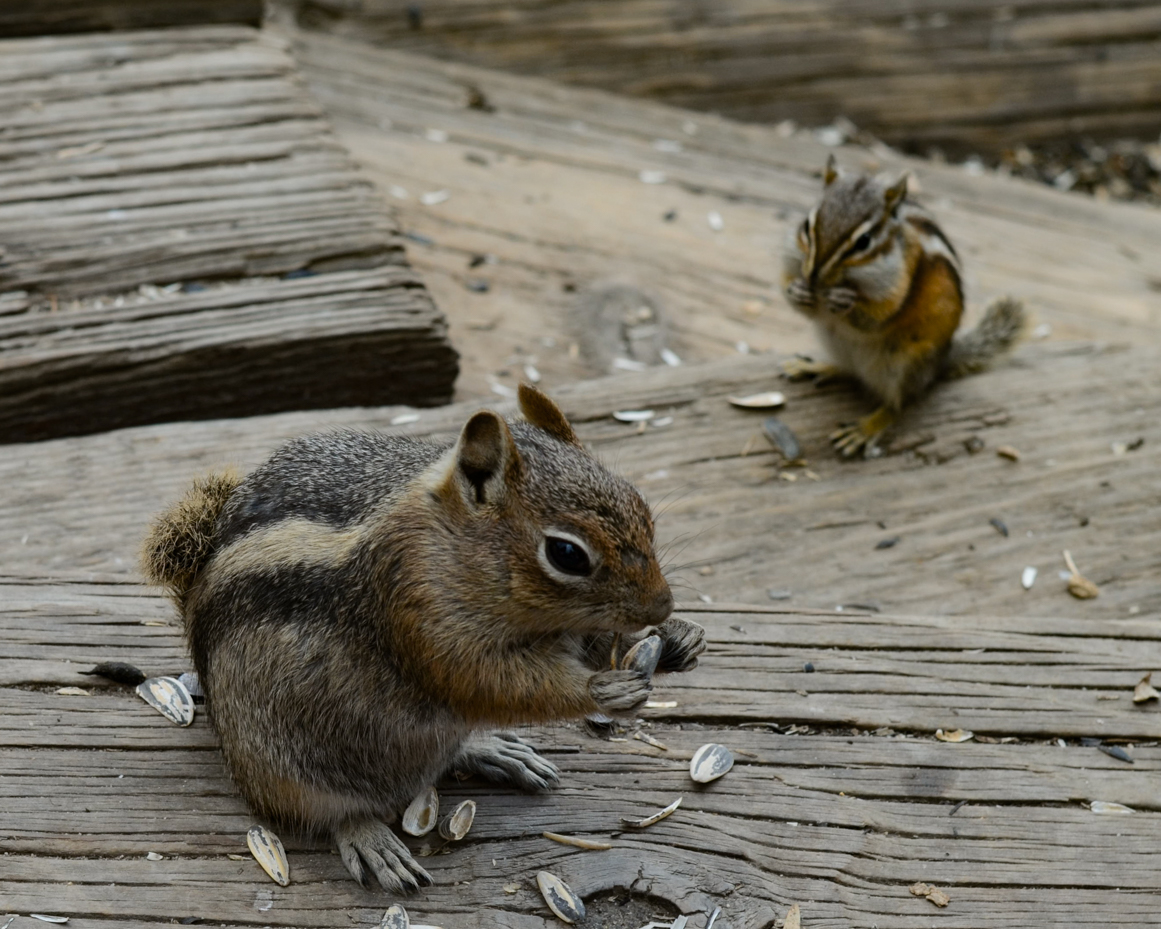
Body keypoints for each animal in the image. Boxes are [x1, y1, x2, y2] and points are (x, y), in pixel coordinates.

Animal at [145, 385, 705, 891]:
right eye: (567, 554)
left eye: (642, 506)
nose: (663, 605)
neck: (452, 547)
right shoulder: (418, 618)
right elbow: (492, 684)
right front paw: (603, 688)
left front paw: (678, 639)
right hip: (284, 768)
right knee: (327, 813)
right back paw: (372, 841)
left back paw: (491, 750)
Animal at [780, 155, 1026, 457]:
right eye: (806, 226)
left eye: (864, 242)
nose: (813, 276)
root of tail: (939, 365)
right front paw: (797, 291)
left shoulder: (899, 283)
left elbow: (879, 317)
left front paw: (844, 301)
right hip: (837, 343)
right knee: (851, 371)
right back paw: (817, 367)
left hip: (903, 363)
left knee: (899, 404)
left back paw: (865, 428)